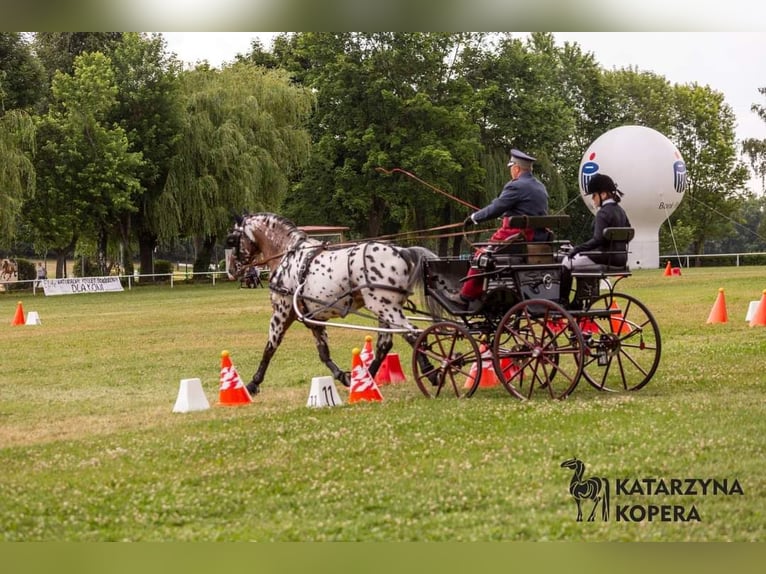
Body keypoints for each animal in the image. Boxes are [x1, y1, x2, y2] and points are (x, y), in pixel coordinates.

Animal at [224, 214, 438, 398]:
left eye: (232, 240)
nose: (231, 271)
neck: (287, 254)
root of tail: (402, 252)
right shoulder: (313, 318)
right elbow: (324, 353)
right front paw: (344, 376)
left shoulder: (282, 311)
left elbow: (270, 347)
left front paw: (252, 384)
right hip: (384, 309)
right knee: (387, 343)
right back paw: (367, 380)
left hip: (384, 307)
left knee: (413, 333)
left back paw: (430, 372)